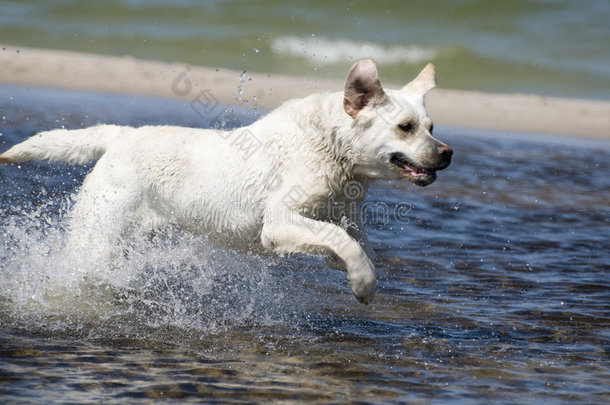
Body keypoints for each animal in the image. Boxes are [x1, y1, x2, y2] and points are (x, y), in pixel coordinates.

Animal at [0, 58, 448, 302]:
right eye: (405, 128)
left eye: (430, 126)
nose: (447, 153)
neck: (330, 146)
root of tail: (121, 136)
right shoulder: (278, 223)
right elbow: (344, 244)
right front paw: (364, 285)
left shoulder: (341, 217)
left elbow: (356, 245)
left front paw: (359, 272)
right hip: (98, 236)